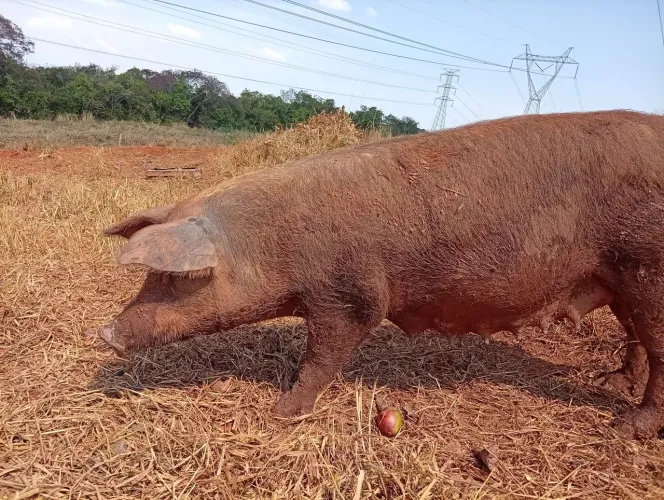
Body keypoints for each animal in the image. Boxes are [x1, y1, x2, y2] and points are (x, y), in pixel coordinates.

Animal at [99, 110, 664, 440]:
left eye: (175, 278)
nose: (104, 332)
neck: (272, 247)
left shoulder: (350, 296)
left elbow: (323, 357)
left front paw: (283, 412)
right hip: (618, 276)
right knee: (633, 335)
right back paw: (611, 381)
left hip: (647, 264)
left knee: (656, 348)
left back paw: (626, 426)